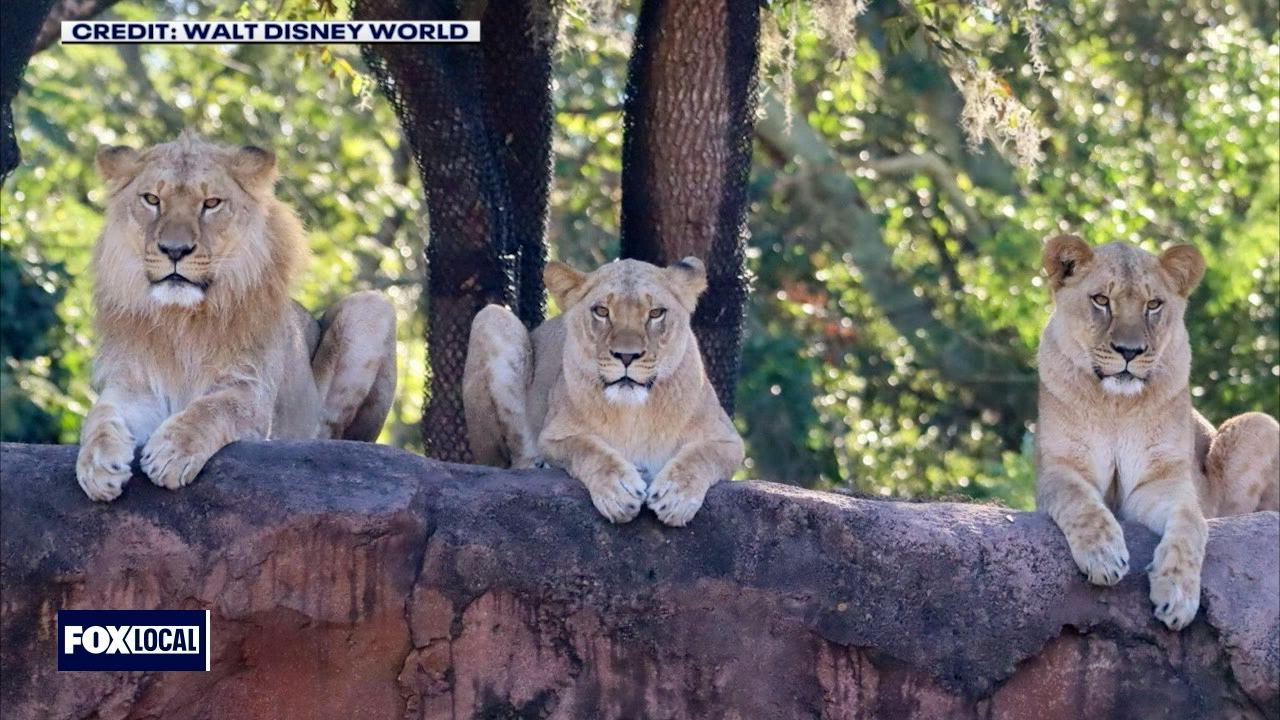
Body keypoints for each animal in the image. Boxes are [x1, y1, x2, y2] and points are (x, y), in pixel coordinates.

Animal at [76, 131, 398, 502]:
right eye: (152, 199)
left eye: (211, 203)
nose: (174, 250)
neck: (182, 320)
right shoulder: (134, 387)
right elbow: (99, 416)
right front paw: (97, 465)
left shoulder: (250, 390)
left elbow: (213, 408)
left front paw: (171, 453)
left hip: (370, 307)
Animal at [462, 257, 744, 526]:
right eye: (601, 311)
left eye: (655, 313)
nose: (627, 356)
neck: (634, 412)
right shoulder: (553, 436)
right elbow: (587, 448)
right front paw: (619, 491)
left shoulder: (730, 441)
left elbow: (701, 455)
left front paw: (675, 497)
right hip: (491, 317)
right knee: (513, 461)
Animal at [1036, 234, 1279, 630]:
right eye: (1101, 300)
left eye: (1153, 305)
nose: (1129, 351)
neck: (1116, 406)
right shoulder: (1059, 467)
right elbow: (1078, 500)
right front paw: (1104, 556)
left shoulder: (1160, 483)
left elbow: (1190, 524)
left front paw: (1177, 595)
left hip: (1259, 424)